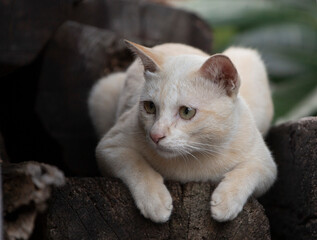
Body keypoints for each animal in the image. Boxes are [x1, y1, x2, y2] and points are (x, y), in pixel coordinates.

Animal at [87, 40, 276, 223]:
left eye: (187, 112)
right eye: (149, 107)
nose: (155, 135)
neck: (192, 159)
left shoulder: (266, 166)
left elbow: (248, 171)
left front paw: (225, 203)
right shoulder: (109, 147)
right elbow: (137, 165)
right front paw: (155, 201)